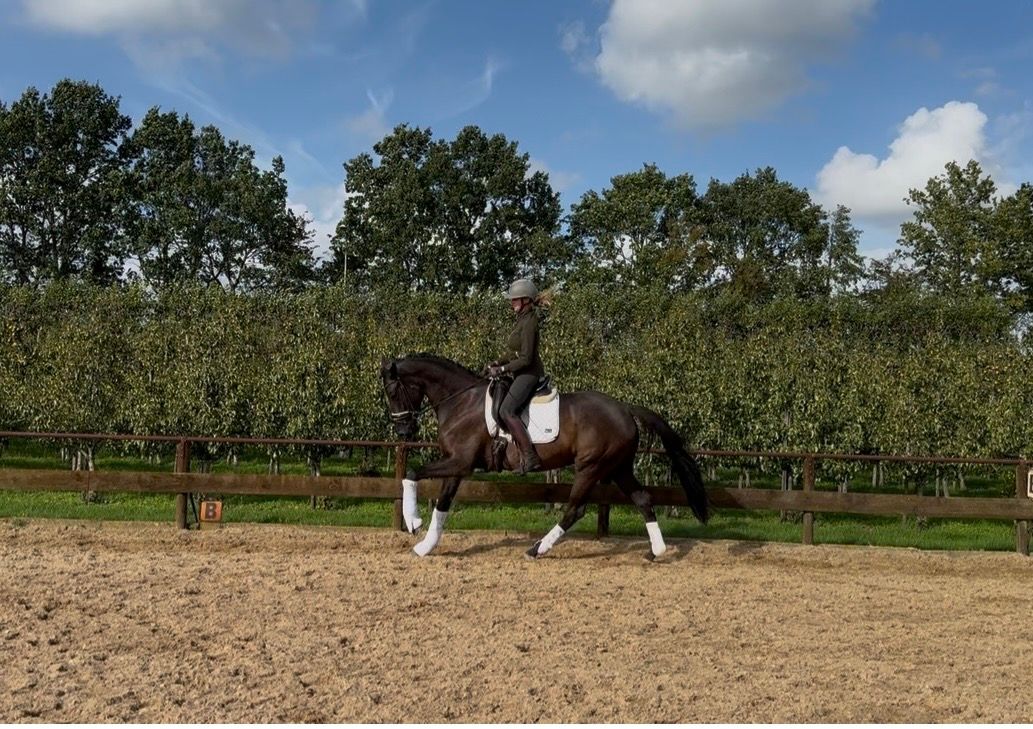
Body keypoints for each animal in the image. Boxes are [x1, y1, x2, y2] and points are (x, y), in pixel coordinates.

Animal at [380, 354, 709, 559]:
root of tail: (625, 409)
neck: (461, 401)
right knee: (642, 499)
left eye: (393, 392)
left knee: (574, 509)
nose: (404, 431)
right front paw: (425, 546)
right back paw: (656, 552)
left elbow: (412, 474)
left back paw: (537, 549)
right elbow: (442, 505)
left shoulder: (460, 462)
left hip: (590, 467)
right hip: (619, 467)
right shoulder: (457, 464)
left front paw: (413, 522)